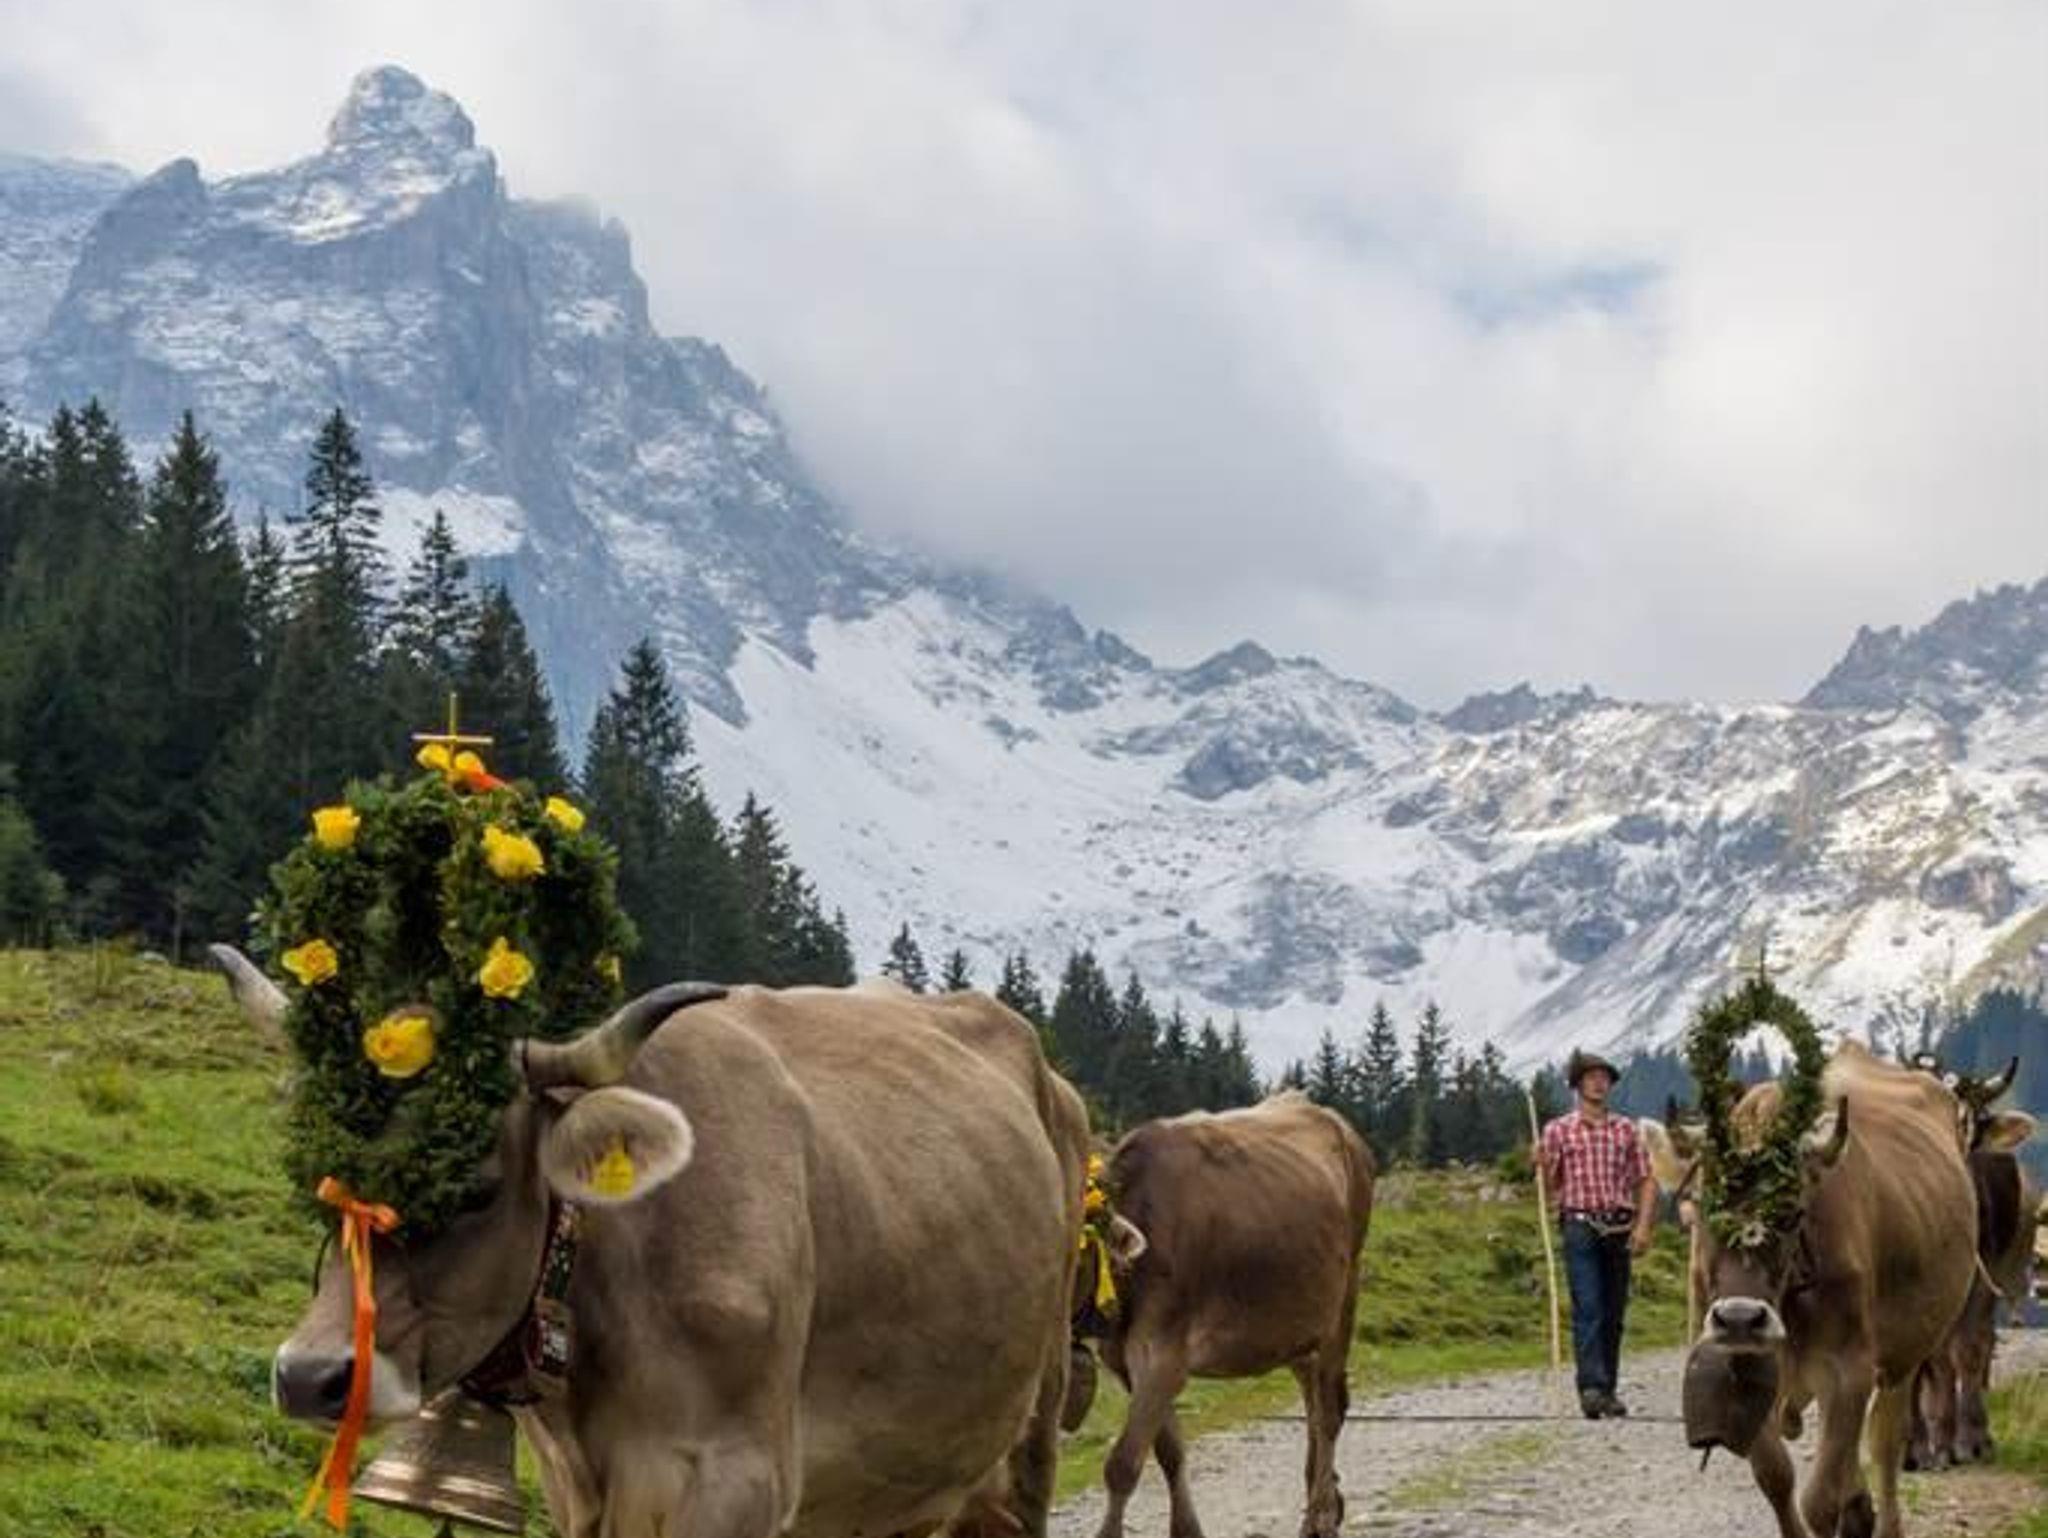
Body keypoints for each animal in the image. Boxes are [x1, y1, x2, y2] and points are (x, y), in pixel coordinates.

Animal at [212, 950, 1091, 1538]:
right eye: (320, 1179)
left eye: (477, 1188)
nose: (310, 1378)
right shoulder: (577, 1491)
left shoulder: (736, 1479)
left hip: (1025, 1442)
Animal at [1080, 1091, 1374, 1538]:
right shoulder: (1125, 1359)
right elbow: (1169, 1452)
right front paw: (1188, 1530)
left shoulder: (1161, 1352)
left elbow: (1124, 1464)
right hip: (1294, 1319)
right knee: (1312, 1395)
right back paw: (1321, 1504)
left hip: (1343, 1300)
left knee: (1329, 1409)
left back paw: (1321, 1516)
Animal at [1681, 1034, 1976, 1538]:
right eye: (1704, 1207)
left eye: (1791, 1212)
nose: (1739, 1319)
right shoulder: (1748, 1368)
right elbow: (1775, 1475)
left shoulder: (1847, 1367)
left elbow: (1820, 1498)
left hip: (1905, 1353)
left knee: (1885, 1442)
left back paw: (1882, 1519)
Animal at [1905, 1057, 2039, 1470]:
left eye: (1975, 1127)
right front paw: (1921, 1447)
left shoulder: (1980, 1281)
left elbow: (1966, 1351)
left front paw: (1961, 1442)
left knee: (1976, 1347)